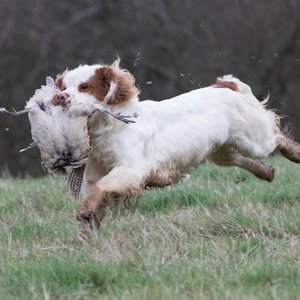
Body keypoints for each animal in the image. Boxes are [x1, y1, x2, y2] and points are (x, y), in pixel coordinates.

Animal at [52, 59, 298, 231]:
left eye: (84, 86)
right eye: (63, 87)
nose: (60, 98)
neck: (108, 125)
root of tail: (225, 85)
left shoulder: (132, 169)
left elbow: (101, 189)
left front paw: (85, 215)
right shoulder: (94, 174)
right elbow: (96, 196)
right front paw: (86, 230)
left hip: (253, 139)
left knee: (276, 135)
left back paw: (295, 154)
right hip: (223, 151)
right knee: (242, 159)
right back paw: (266, 172)